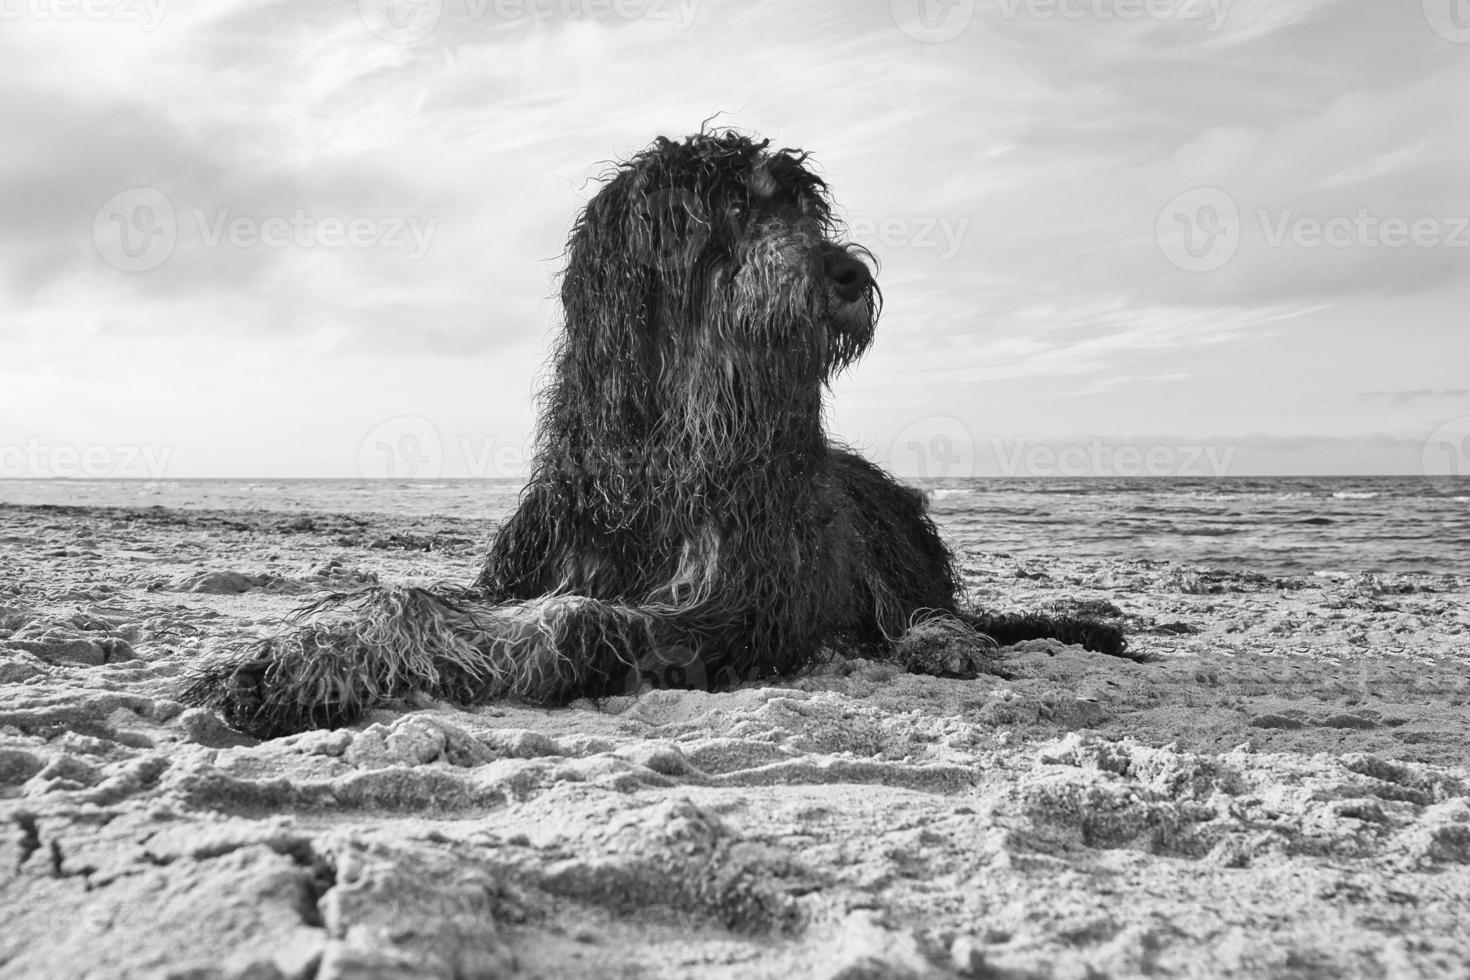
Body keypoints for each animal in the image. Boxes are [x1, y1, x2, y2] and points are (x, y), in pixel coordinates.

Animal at [183, 132, 1123, 743]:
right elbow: (405, 600)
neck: (661, 449)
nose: (849, 273)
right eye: (736, 202)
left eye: (807, 210)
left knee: (922, 611)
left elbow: (572, 622)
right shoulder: (543, 560)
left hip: (897, 551)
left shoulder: (734, 607)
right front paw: (286, 660)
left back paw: (944, 641)